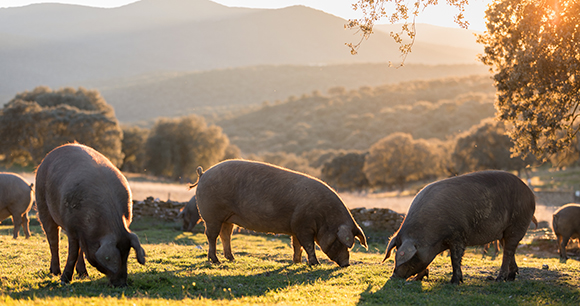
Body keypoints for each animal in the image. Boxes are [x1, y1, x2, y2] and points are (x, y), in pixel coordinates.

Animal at [35, 143, 146, 286]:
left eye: (126, 255)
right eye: (115, 259)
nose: (121, 284)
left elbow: (79, 251)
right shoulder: (71, 227)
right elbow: (72, 253)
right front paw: (64, 280)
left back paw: (83, 275)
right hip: (42, 204)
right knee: (53, 241)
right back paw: (55, 272)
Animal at [194, 159, 368, 266]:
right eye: (340, 242)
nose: (346, 264)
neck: (324, 217)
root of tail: (203, 174)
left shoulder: (296, 226)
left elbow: (297, 245)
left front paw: (297, 262)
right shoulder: (303, 226)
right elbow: (308, 245)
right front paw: (315, 264)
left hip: (227, 218)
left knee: (225, 235)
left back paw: (231, 259)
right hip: (211, 216)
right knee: (211, 236)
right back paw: (216, 261)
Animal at [382, 171, 536, 284]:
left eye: (406, 257)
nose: (393, 276)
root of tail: (530, 193)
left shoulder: (458, 236)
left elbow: (455, 259)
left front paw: (455, 282)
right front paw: (416, 279)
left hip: (517, 224)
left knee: (508, 251)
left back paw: (499, 279)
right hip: (504, 232)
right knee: (509, 250)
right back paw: (510, 278)